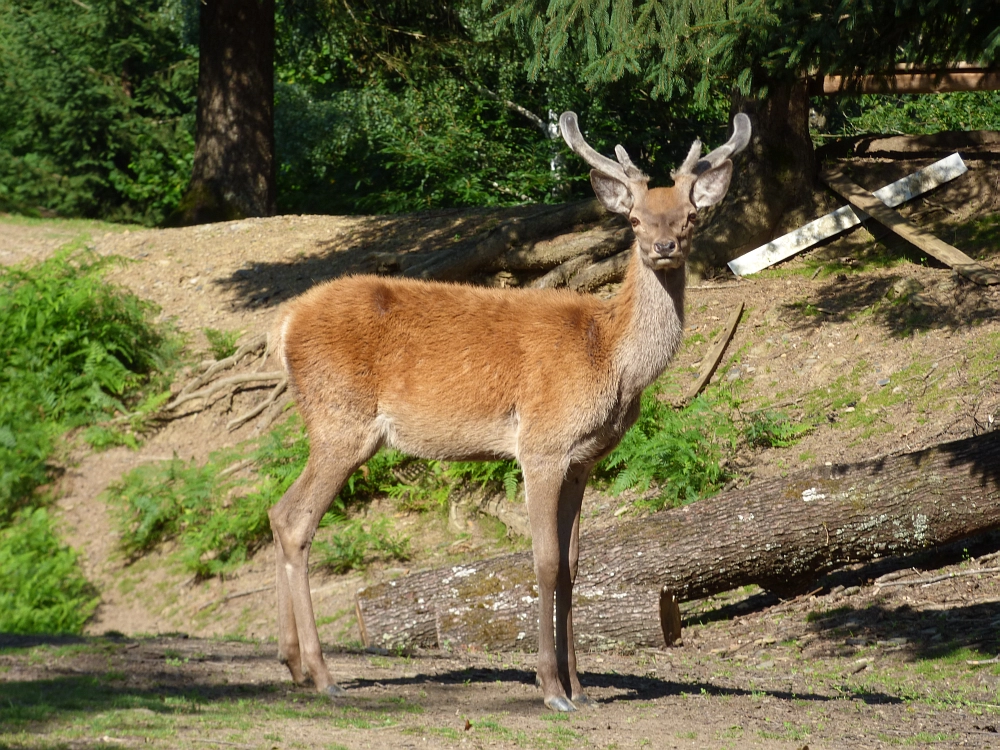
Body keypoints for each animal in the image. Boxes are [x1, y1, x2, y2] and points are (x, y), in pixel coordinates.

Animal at [266, 110, 752, 712]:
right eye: (635, 220)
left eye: (689, 215)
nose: (663, 246)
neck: (610, 356)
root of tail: (282, 326)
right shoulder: (541, 445)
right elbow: (543, 562)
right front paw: (551, 690)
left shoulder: (583, 459)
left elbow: (572, 565)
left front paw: (582, 689)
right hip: (342, 423)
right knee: (296, 522)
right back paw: (322, 674)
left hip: (332, 428)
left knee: (277, 512)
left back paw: (293, 666)